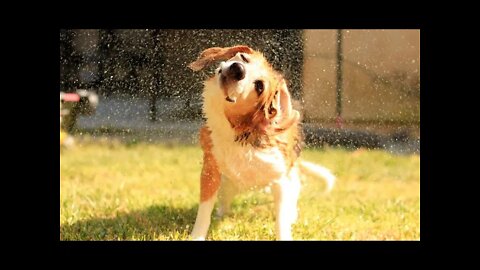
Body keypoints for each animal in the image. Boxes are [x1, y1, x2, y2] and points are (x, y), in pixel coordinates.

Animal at [187, 44, 334, 240]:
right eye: (243, 57)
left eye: (259, 86)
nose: (238, 69)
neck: (241, 132)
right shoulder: (211, 170)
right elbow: (204, 211)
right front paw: (197, 235)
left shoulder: (280, 180)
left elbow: (281, 221)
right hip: (227, 182)